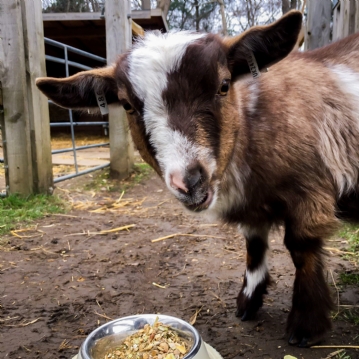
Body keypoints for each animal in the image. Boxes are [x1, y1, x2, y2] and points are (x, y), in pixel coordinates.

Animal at [36, 10, 359, 348]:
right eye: (127, 105)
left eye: (224, 85)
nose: (189, 181)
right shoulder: (253, 206)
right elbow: (254, 245)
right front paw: (247, 302)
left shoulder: (309, 187)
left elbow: (301, 248)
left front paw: (305, 325)